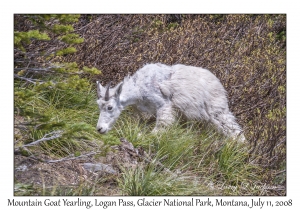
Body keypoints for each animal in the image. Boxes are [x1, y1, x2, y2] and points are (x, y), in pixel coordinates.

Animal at [97, 62, 245, 141]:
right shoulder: (143, 112)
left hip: (217, 110)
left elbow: (160, 126)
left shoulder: (163, 105)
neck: (138, 89)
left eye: (110, 107)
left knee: (233, 128)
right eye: (98, 105)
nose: (100, 129)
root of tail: (218, 83)